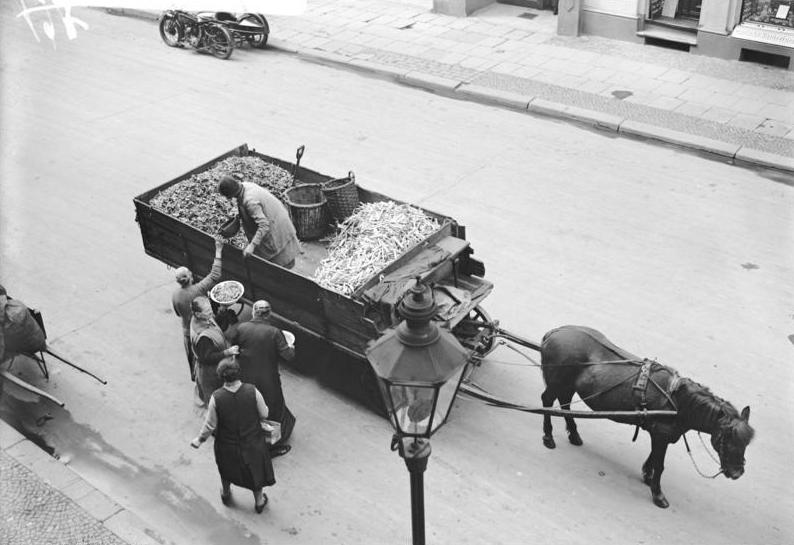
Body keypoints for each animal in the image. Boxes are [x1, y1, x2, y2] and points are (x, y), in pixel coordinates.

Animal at [536, 324, 752, 506]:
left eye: (746, 442)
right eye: (726, 437)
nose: (737, 472)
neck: (679, 401)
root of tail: (554, 333)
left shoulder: (661, 435)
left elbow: (654, 458)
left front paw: (647, 475)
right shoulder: (661, 434)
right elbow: (660, 464)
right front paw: (658, 493)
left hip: (568, 385)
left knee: (565, 404)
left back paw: (574, 434)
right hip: (556, 382)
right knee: (547, 401)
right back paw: (548, 436)